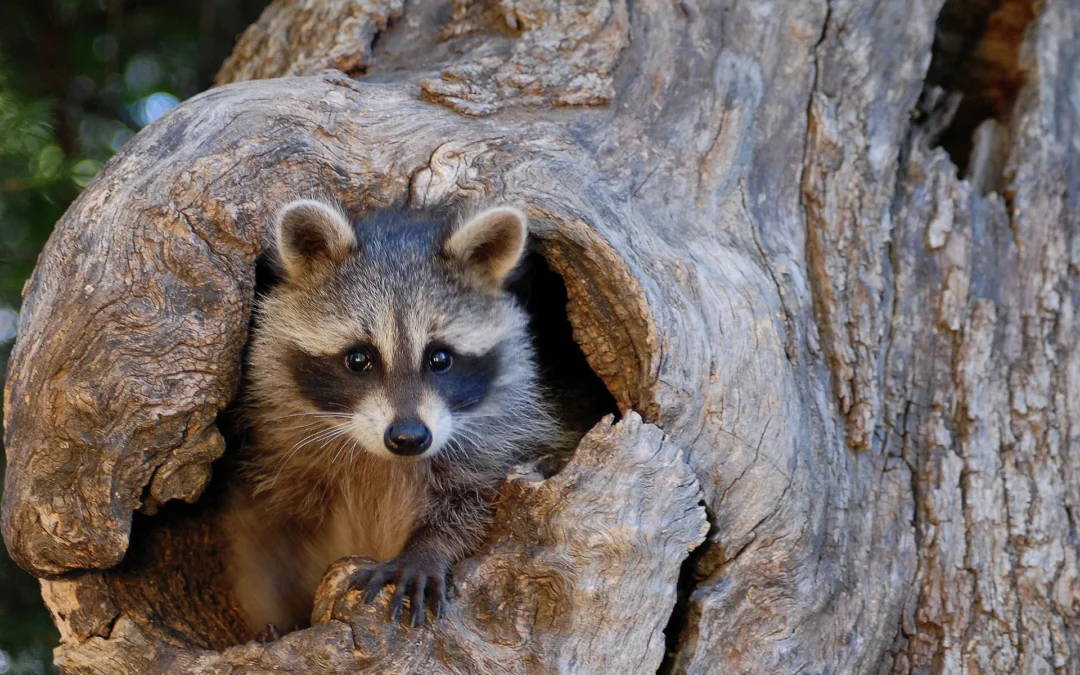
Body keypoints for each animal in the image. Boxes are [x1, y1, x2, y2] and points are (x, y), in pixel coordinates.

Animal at [225, 199, 561, 635]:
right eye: (358, 359)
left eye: (440, 359)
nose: (408, 437)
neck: (383, 461)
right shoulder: (272, 459)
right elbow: (263, 542)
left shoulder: (499, 441)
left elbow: (477, 501)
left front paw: (427, 548)